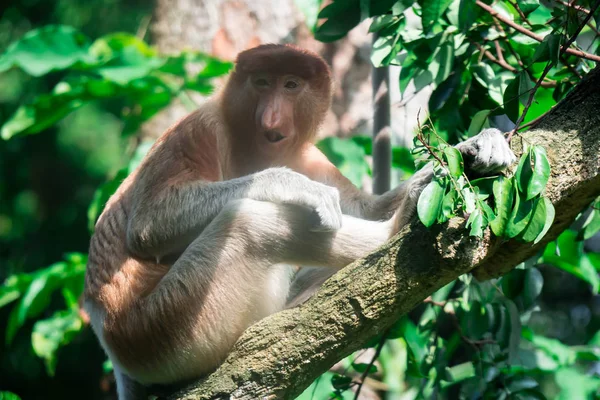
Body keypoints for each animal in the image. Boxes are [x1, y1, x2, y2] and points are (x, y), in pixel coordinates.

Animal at [83, 44, 516, 400]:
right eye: (261, 83)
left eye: (291, 85)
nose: (272, 117)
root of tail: (110, 339)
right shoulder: (199, 129)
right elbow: (148, 225)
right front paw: (293, 186)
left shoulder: (309, 156)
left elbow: (365, 206)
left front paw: (476, 146)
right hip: (165, 327)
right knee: (245, 223)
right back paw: (396, 227)